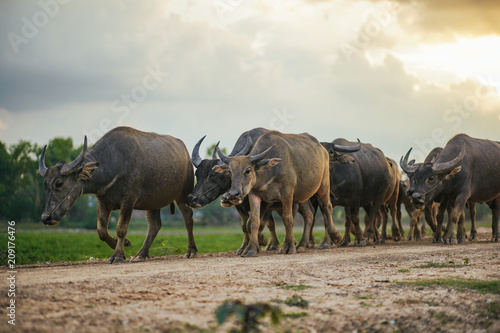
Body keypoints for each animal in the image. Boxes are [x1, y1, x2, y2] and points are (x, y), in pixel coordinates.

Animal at [38, 126, 195, 262]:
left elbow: (121, 229)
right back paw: (140, 254)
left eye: (59, 183)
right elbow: (101, 230)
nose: (46, 218)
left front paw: (117, 255)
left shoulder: (128, 201)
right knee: (154, 225)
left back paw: (190, 251)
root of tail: (186, 154)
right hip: (152, 201)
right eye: (45, 185)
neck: (111, 164)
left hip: (183, 194)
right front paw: (122, 244)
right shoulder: (102, 202)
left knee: (188, 218)